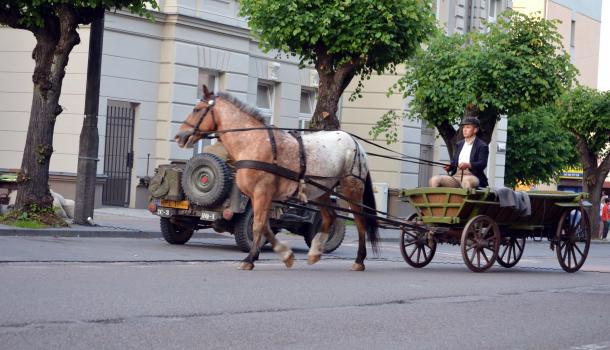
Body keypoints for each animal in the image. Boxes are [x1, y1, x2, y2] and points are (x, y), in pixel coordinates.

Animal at [173, 87, 378, 270]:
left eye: (197, 109)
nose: (179, 136)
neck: (253, 142)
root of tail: (356, 144)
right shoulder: (259, 197)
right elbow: (265, 226)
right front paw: (284, 255)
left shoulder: (262, 193)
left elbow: (258, 225)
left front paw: (249, 259)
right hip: (322, 191)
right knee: (330, 216)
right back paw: (314, 253)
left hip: (351, 188)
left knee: (360, 221)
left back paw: (359, 260)